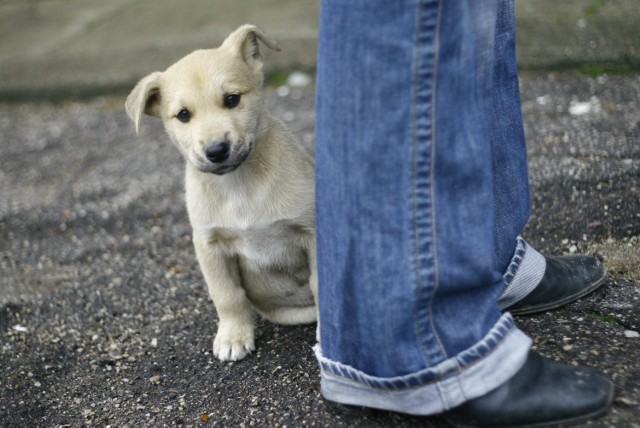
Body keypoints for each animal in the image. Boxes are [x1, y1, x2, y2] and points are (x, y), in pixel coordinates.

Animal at [125, 25, 318, 362]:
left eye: (232, 99)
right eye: (183, 115)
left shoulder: (313, 230)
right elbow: (227, 296)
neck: (238, 185)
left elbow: (324, 285)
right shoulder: (209, 244)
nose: (216, 151)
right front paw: (233, 336)